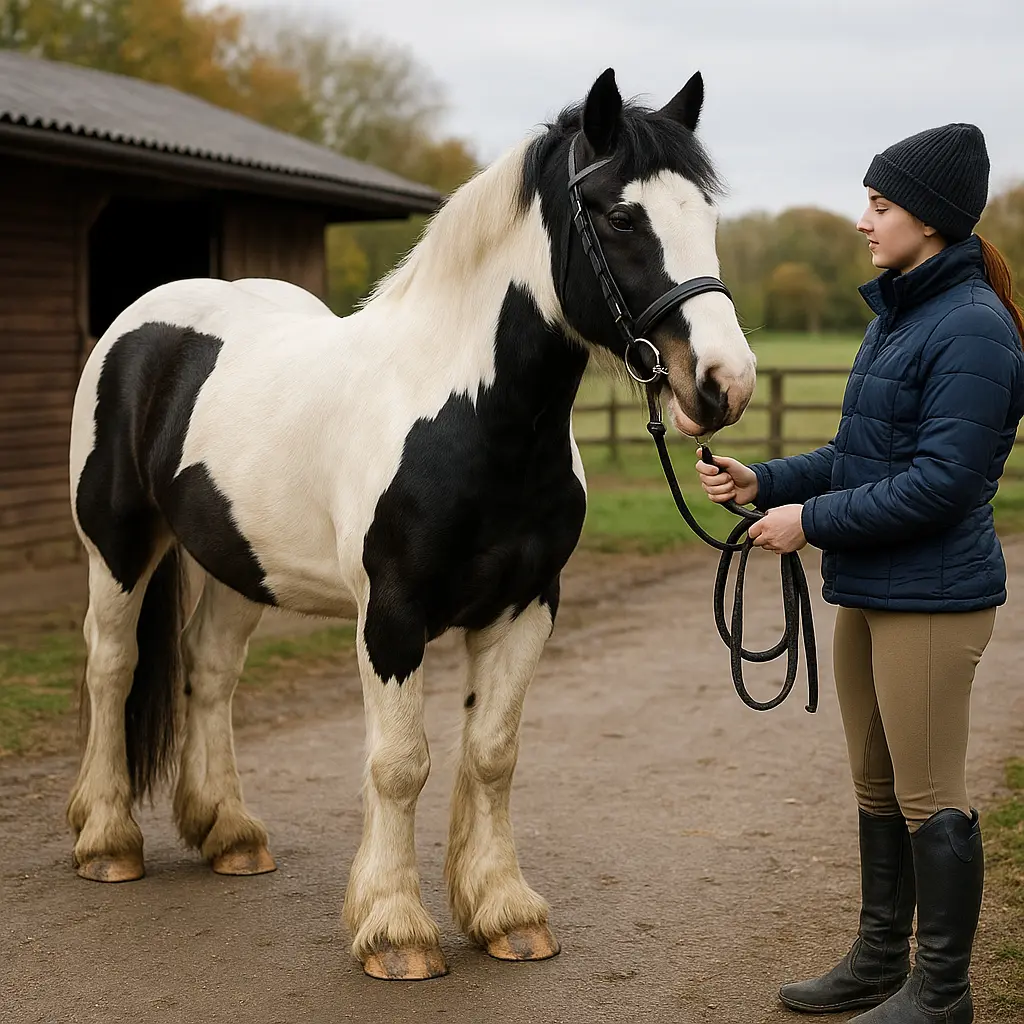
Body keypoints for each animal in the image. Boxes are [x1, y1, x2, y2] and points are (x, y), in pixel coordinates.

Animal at [66, 67, 756, 980]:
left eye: (706, 216)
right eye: (620, 217)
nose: (723, 383)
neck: (468, 415)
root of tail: (142, 322)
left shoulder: (527, 606)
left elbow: (492, 754)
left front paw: (504, 913)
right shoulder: (390, 615)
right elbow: (400, 765)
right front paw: (396, 928)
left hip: (239, 563)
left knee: (207, 672)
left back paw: (230, 833)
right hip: (116, 544)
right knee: (112, 667)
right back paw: (107, 840)